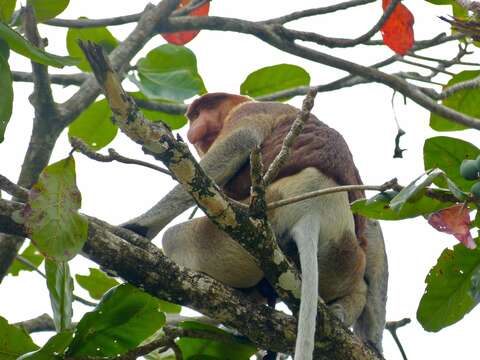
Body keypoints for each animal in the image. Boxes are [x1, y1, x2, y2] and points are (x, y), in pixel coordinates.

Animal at [122, 93, 388, 360]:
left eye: (199, 113)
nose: (192, 130)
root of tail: (313, 210)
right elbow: (372, 226)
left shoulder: (249, 111)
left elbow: (239, 142)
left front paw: (136, 227)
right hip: (341, 256)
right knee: (362, 276)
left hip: (240, 238)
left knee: (174, 237)